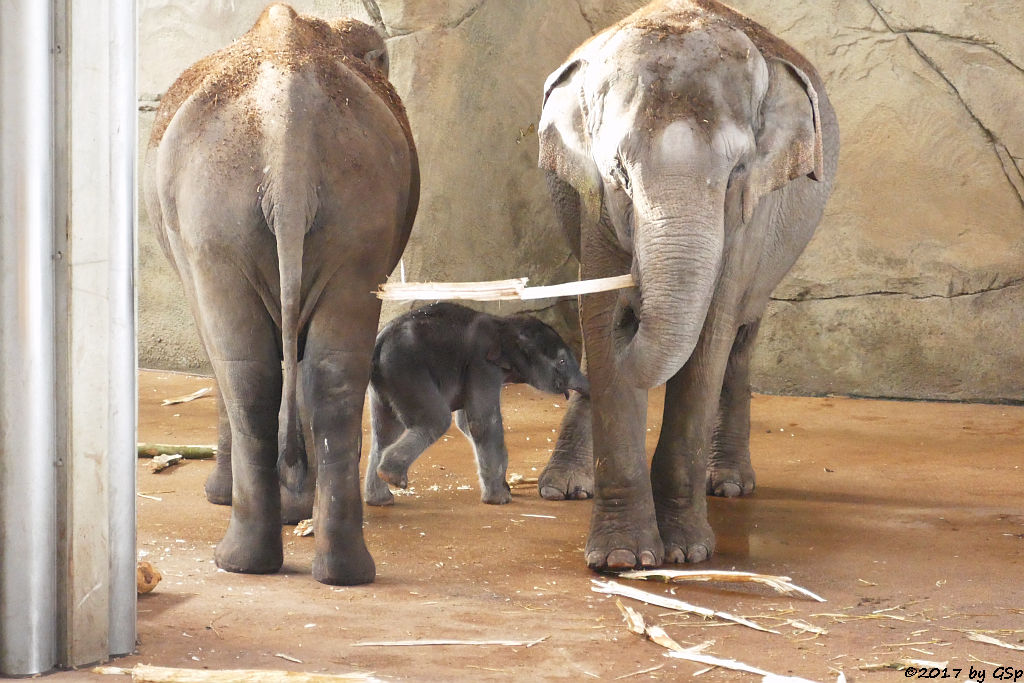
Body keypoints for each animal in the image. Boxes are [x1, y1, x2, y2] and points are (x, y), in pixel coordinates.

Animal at [366, 305, 589, 507]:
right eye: (562, 361)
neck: (504, 325)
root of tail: (379, 342)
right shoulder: (482, 364)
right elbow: (482, 422)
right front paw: (500, 499)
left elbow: (466, 423)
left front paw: (505, 488)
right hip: (406, 372)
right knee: (436, 420)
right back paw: (392, 477)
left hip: (385, 384)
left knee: (385, 432)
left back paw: (381, 500)